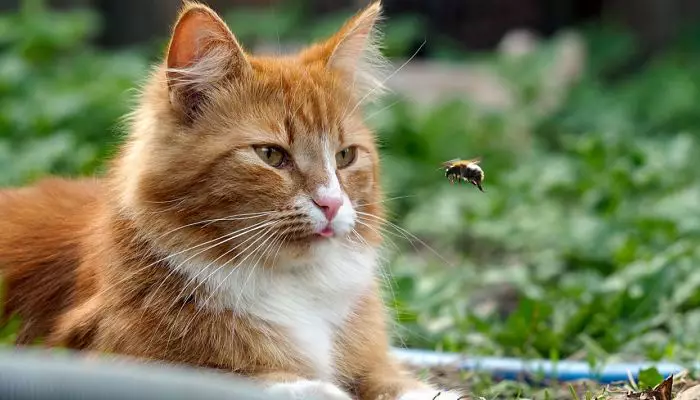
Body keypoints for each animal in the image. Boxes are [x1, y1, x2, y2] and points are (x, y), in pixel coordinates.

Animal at [0, 1, 462, 398]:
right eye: (271, 155)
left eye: (345, 156)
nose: (331, 204)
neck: (291, 286)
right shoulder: (103, 356)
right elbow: (234, 374)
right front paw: (313, 387)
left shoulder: (373, 363)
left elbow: (401, 383)